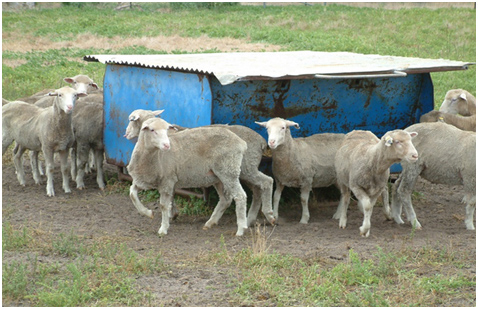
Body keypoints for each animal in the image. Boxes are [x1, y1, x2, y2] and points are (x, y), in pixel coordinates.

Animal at [126, 109, 276, 225]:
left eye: (132, 120)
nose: (126, 133)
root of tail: (262, 141)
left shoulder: (170, 174)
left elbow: (170, 196)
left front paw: (171, 214)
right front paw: (171, 214)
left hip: (245, 168)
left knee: (266, 182)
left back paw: (267, 215)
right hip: (242, 171)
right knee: (256, 189)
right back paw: (250, 219)